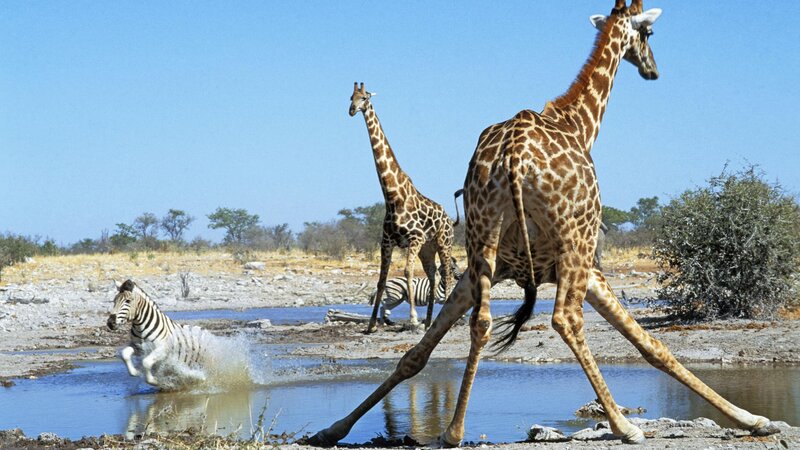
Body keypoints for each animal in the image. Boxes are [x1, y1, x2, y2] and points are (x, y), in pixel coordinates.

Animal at [349, 82, 455, 331]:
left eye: (364, 97)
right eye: (351, 97)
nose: (352, 110)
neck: (392, 196)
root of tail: (449, 218)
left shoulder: (414, 239)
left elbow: (407, 271)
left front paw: (413, 318)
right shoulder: (387, 241)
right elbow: (381, 280)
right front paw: (371, 324)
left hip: (443, 243)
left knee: (446, 273)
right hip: (428, 248)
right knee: (433, 275)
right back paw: (429, 322)